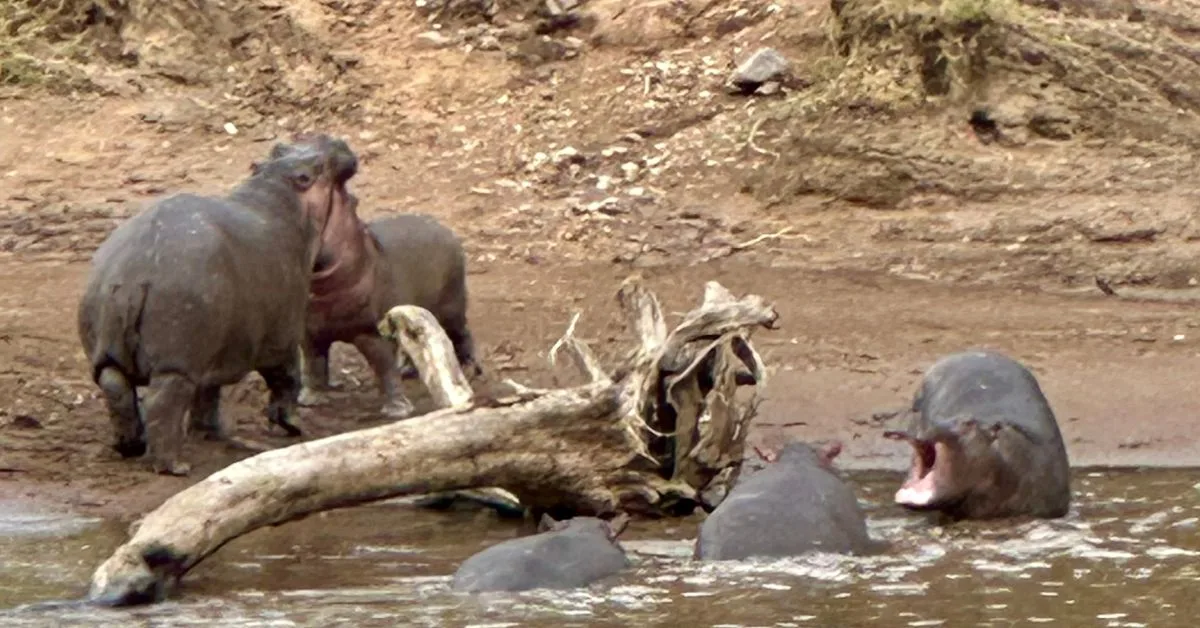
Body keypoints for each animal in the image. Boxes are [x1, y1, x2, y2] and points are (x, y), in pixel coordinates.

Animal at [76, 134, 358, 476]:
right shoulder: (282, 333)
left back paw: (130, 446)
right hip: (176, 360)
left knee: (116, 388)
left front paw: (209, 432)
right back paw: (175, 466)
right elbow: (286, 377)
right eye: (316, 167)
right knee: (163, 401)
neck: (281, 193)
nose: (332, 138)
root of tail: (133, 272)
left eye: (280, 148)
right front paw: (293, 427)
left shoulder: (215, 352)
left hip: (111, 344)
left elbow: (208, 393)